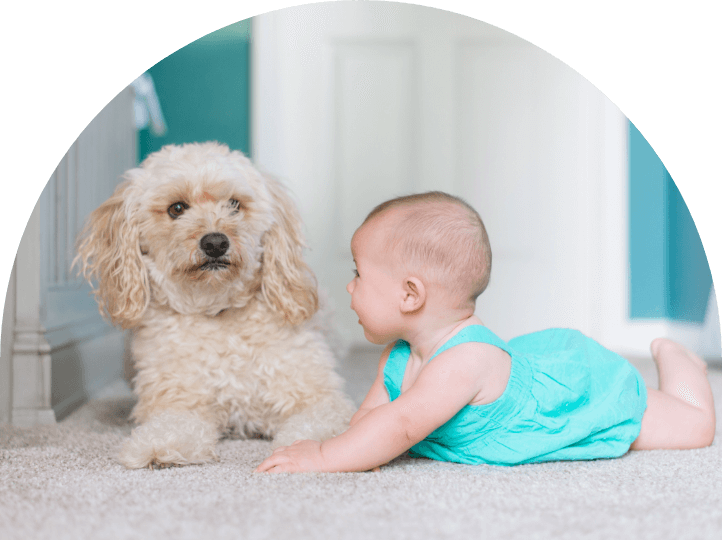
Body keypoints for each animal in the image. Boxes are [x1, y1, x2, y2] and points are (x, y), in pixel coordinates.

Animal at [73, 142, 354, 468]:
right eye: (176, 208)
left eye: (234, 204)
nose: (215, 243)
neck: (217, 311)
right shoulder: (178, 401)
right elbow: (172, 426)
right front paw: (159, 446)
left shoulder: (318, 397)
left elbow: (317, 424)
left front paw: (307, 450)